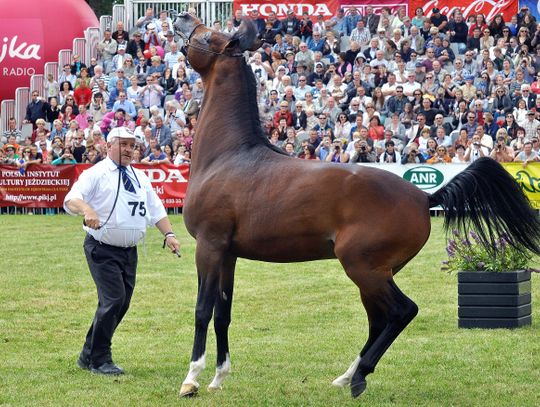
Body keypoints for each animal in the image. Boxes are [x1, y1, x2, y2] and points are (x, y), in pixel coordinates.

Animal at [173, 14, 540, 400]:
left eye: (209, 35)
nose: (181, 18)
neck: (229, 155)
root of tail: (424, 197)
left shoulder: (209, 247)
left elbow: (202, 310)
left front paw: (191, 379)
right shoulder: (228, 253)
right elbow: (223, 313)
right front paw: (218, 378)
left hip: (363, 268)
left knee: (402, 312)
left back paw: (359, 377)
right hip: (377, 273)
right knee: (379, 320)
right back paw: (346, 376)